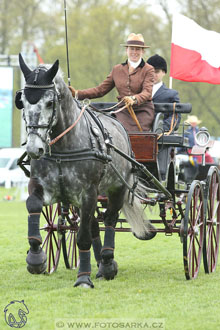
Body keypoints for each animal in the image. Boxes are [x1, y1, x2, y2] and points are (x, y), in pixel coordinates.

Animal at [15, 52, 155, 288]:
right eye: (22, 102)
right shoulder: (41, 185)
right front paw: (36, 259)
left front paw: (83, 278)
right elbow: (33, 206)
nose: (35, 148)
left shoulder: (88, 192)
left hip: (116, 188)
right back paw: (100, 263)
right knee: (94, 225)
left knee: (109, 220)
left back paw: (106, 263)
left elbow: (83, 237)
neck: (63, 149)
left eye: (50, 102)